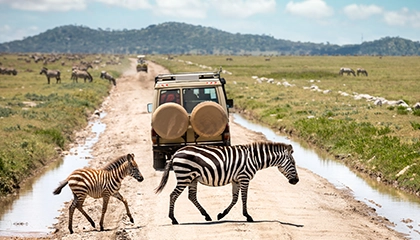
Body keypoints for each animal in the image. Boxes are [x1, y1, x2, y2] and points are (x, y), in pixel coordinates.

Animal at [155, 142, 298, 224]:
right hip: (185, 176)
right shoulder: (244, 177)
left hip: (192, 178)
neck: (254, 159)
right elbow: (244, 198)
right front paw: (248, 216)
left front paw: (221, 215)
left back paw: (207, 216)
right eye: (293, 163)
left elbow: (235, 199)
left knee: (191, 196)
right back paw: (173, 219)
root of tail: (176, 153)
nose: (296, 181)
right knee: (173, 195)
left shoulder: (236, 180)